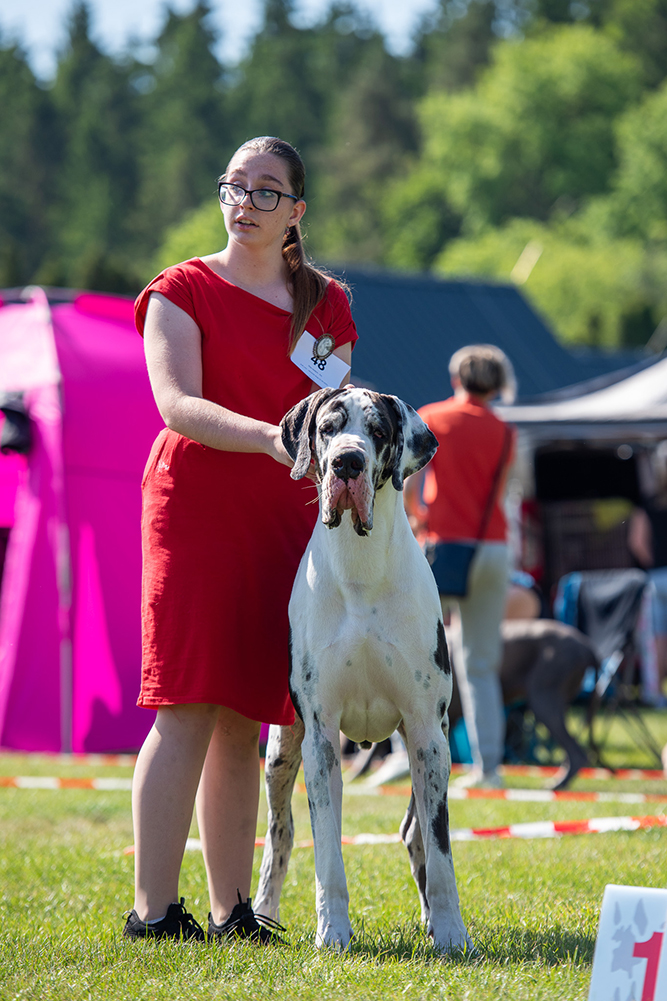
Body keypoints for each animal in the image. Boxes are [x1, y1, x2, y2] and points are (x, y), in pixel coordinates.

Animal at [254, 386, 472, 953]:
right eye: (328, 428)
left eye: (378, 431)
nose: (347, 463)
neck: (361, 569)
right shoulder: (321, 739)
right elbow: (327, 851)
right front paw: (333, 931)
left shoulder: (427, 732)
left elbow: (441, 850)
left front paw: (451, 932)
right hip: (281, 751)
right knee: (280, 833)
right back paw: (260, 914)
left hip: (428, 743)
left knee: (417, 834)